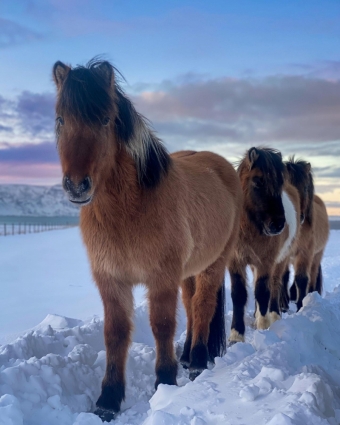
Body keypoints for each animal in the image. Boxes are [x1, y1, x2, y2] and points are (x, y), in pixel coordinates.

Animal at [51, 58, 243, 420]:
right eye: (60, 119)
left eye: (105, 119)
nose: (77, 185)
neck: (130, 210)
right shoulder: (111, 280)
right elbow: (115, 334)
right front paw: (108, 400)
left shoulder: (161, 278)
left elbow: (162, 325)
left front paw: (164, 382)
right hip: (189, 271)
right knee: (192, 306)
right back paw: (188, 356)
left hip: (215, 263)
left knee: (203, 305)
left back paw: (197, 361)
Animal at [228, 147, 300, 344]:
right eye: (258, 181)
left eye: (280, 182)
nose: (278, 224)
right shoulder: (236, 262)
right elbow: (239, 295)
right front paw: (236, 335)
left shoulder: (265, 262)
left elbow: (262, 291)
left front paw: (264, 325)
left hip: (280, 260)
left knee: (275, 285)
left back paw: (273, 315)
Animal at [282, 157, 330, 310]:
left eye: (305, 187)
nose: (299, 217)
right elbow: (284, 277)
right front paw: (283, 304)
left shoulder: (305, 253)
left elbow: (302, 279)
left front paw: (300, 305)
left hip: (316, 256)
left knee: (312, 277)